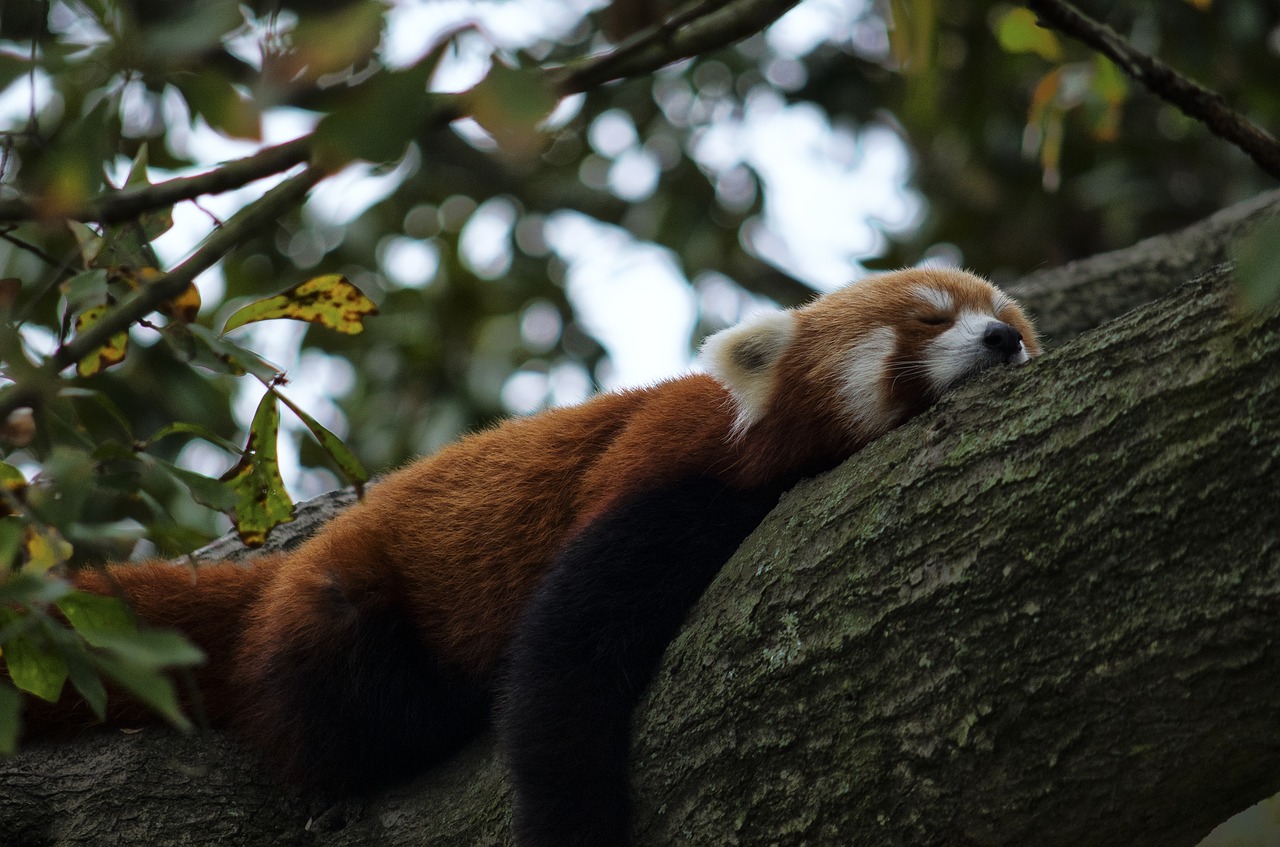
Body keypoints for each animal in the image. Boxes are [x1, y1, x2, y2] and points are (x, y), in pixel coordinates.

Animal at [22, 267, 1039, 847]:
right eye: (928, 318)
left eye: (1012, 321)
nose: (1003, 339)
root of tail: (272, 573)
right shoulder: (661, 477)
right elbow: (561, 665)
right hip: (341, 606)